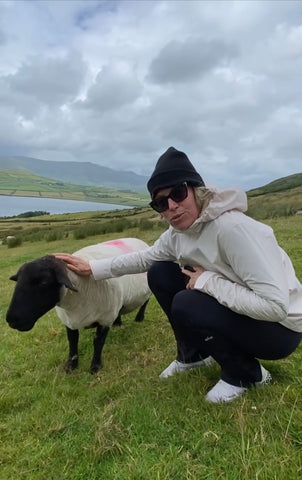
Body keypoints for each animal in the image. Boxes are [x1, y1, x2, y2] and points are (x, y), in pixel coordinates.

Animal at [4, 238, 151, 374]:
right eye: (17, 281)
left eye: (43, 282)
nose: (11, 320)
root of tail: (138, 239)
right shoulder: (69, 321)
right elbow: (72, 342)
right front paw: (71, 365)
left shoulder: (105, 318)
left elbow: (98, 342)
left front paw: (95, 367)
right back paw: (118, 323)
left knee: (145, 302)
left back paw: (139, 318)